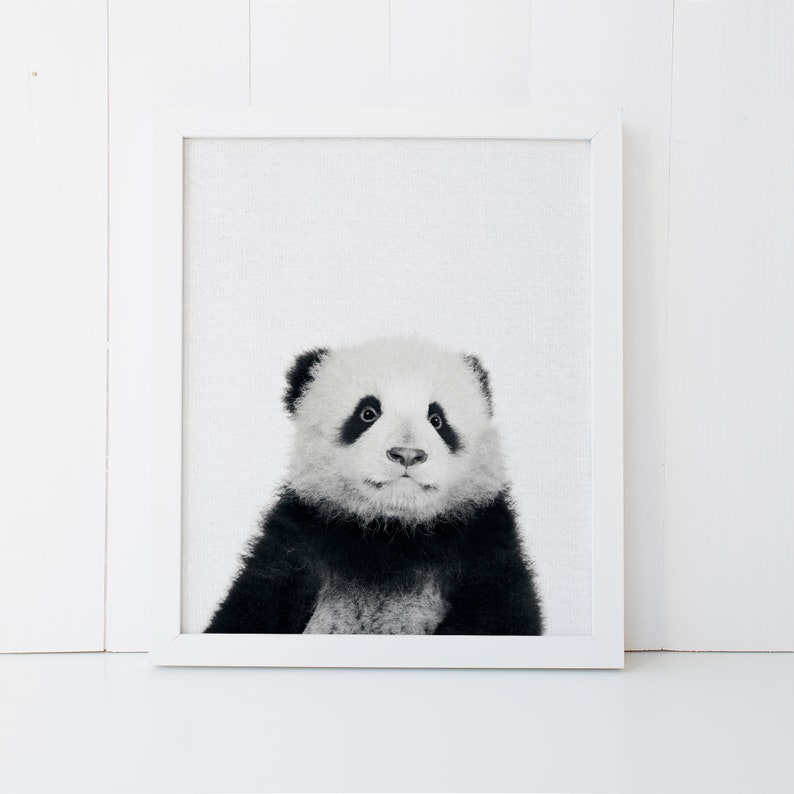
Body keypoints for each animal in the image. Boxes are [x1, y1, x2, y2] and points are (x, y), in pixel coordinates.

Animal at [205, 337, 543, 636]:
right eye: (367, 413)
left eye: (437, 420)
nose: (407, 454)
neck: (391, 532)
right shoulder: (297, 539)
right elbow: (250, 606)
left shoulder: (482, 542)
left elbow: (501, 615)